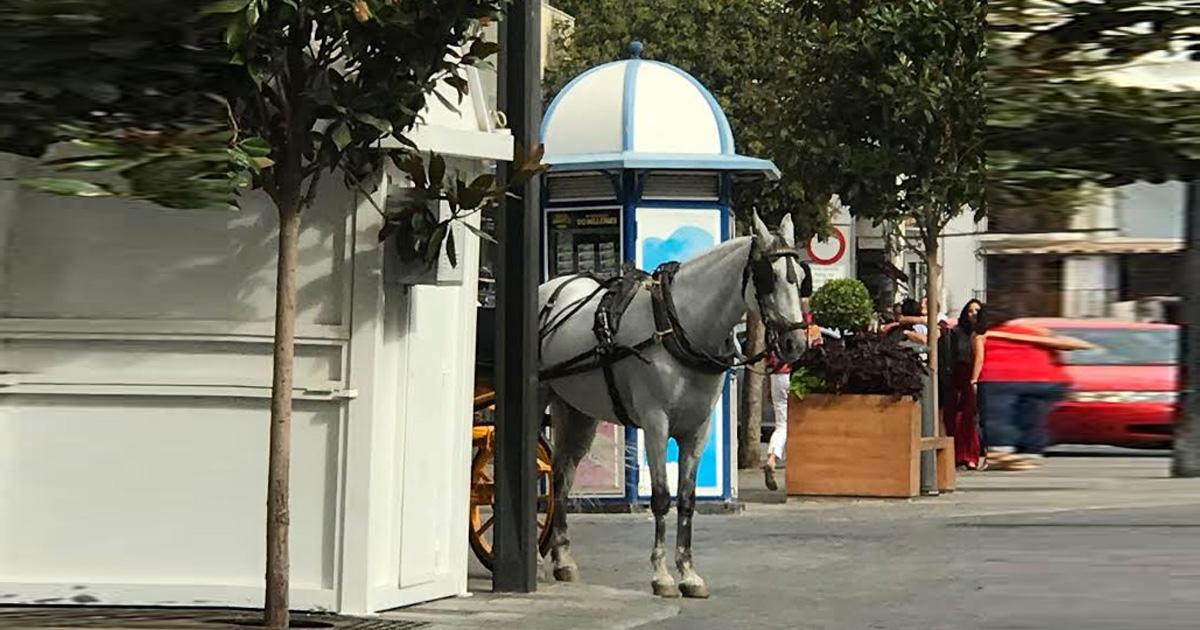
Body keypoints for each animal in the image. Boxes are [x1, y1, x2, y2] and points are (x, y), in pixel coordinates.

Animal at [540, 212, 811, 600]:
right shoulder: (656, 424)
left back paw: (563, 559)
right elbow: (661, 497)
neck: (680, 325)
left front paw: (689, 573)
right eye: (766, 278)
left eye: (800, 279)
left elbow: (686, 499)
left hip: (578, 412)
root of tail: (552, 287)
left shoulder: (698, 429)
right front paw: (662, 575)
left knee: (562, 475)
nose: (795, 344)